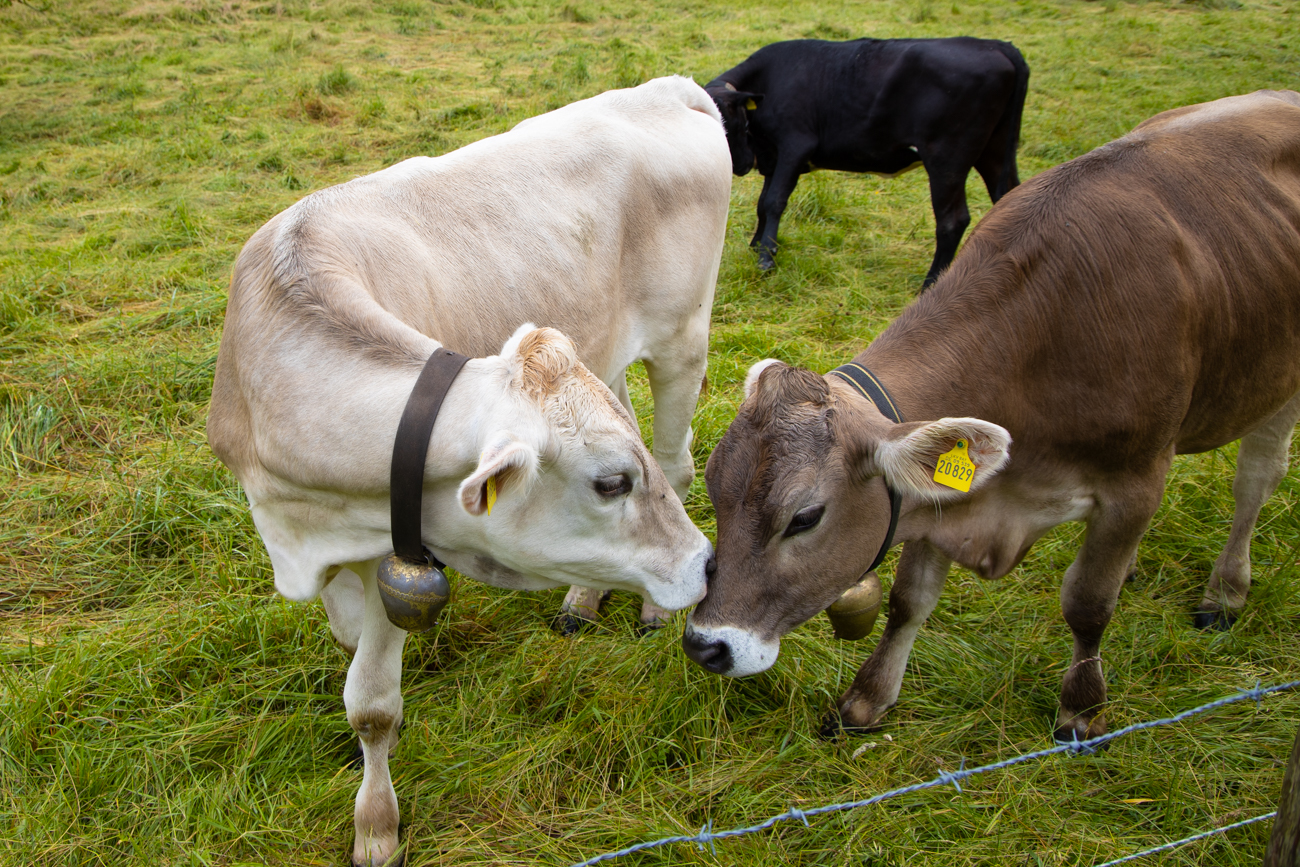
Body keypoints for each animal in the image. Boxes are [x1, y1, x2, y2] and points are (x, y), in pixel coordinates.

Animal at [205, 76, 733, 867]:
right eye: (610, 482)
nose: (708, 564)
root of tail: (667, 88)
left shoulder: (396, 546)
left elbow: (372, 703)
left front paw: (377, 828)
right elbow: (348, 648)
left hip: (682, 340)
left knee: (677, 455)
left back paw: (646, 609)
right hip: (608, 349)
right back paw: (583, 599)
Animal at [681, 93, 1300, 748]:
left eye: (804, 518)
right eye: (715, 495)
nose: (706, 645)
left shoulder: (1135, 482)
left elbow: (1088, 603)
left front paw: (1082, 709)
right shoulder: (948, 499)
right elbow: (910, 600)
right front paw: (868, 699)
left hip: (1279, 384)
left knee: (1255, 482)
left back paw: (1225, 593)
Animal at [712, 35, 1024, 285]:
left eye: (733, 124)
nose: (742, 165)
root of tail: (995, 45)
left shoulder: (794, 145)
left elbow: (774, 201)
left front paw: (766, 257)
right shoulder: (774, 157)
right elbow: (762, 204)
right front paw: (758, 245)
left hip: (948, 159)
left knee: (952, 220)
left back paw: (932, 282)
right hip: (993, 151)